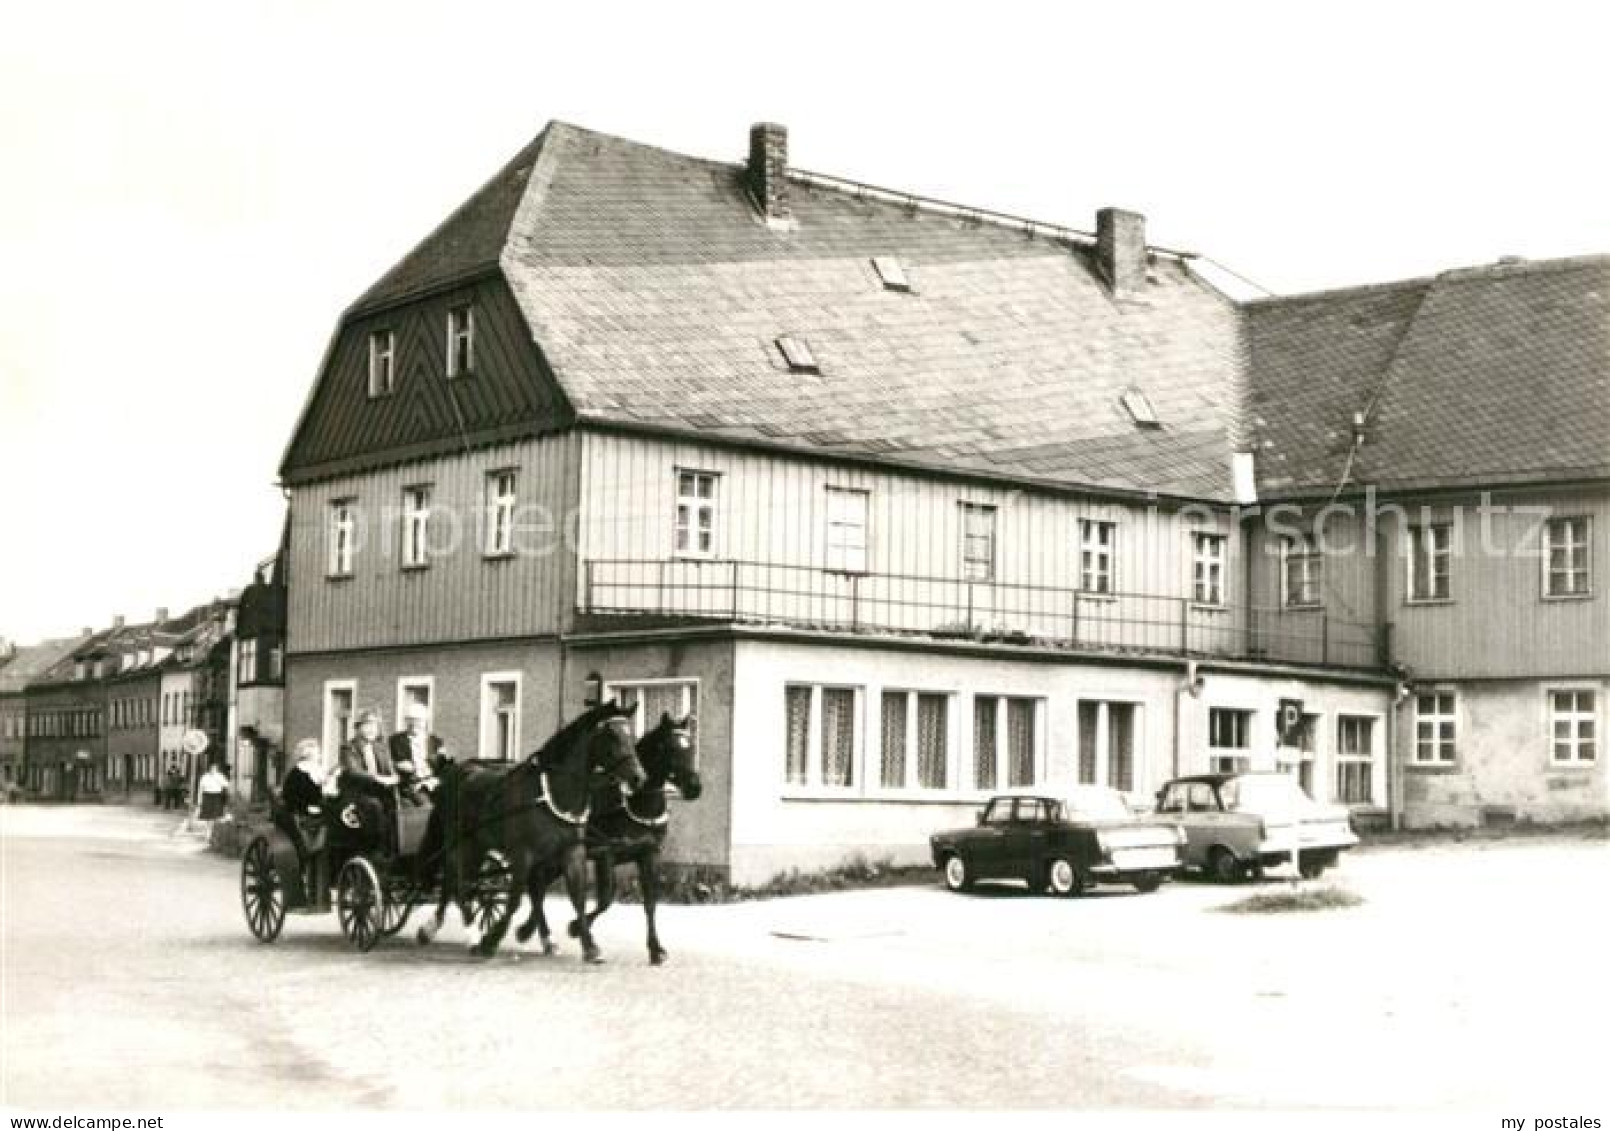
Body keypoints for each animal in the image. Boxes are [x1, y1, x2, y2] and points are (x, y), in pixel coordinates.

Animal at [421, 705, 647, 960]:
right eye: (612, 736)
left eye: (632, 736)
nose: (639, 777)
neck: (553, 795)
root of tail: (458, 771)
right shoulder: (523, 855)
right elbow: (515, 901)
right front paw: (491, 941)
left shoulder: (571, 853)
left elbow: (576, 897)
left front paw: (589, 946)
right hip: (461, 843)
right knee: (455, 881)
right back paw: (463, 933)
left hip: (478, 846)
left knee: (462, 883)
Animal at [518, 718, 701, 966]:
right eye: (670, 748)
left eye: (691, 747)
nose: (695, 787)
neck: (633, 802)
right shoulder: (606, 854)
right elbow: (606, 898)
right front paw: (576, 928)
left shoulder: (649, 854)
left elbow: (650, 902)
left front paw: (656, 949)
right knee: (536, 886)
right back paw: (539, 935)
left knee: (539, 887)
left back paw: (533, 931)